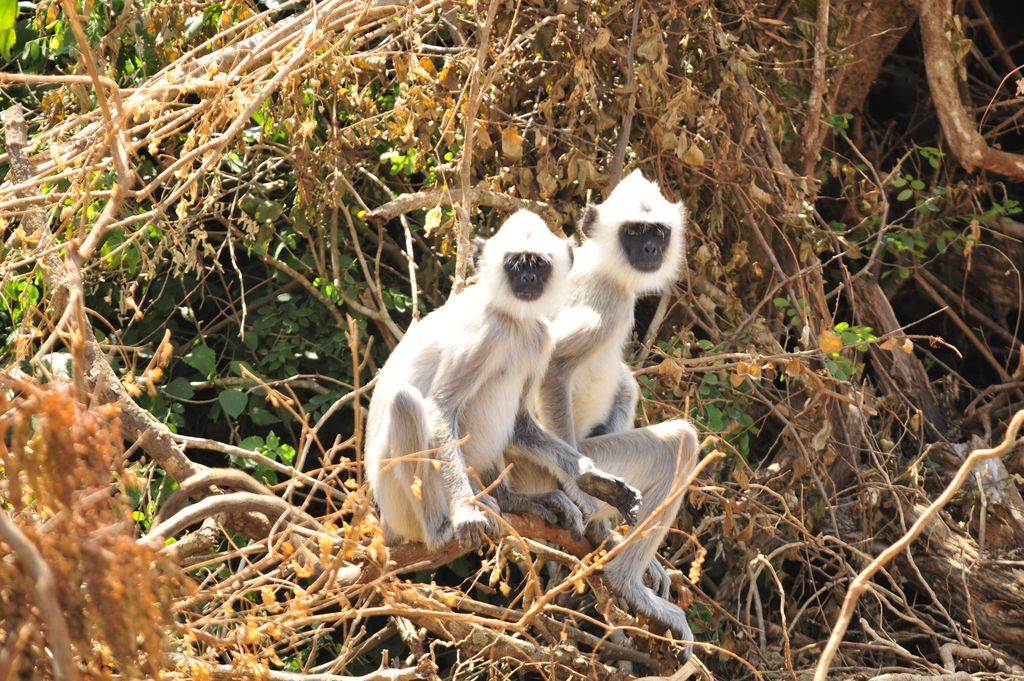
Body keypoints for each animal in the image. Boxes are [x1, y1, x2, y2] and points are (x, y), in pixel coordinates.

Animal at [366, 210, 638, 552]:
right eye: (514, 264)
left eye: (539, 264)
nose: (528, 279)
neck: (514, 320)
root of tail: (387, 522)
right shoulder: (486, 333)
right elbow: (441, 409)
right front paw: (466, 512)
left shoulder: (540, 337)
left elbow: (521, 423)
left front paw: (590, 476)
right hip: (398, 500)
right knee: (406, 401)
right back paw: (443, 527)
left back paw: (513, 500)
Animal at [509, 169, 700, 647]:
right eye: (633, 232)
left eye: (657, 232)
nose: (649, 250)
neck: (601, 265)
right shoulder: (606, 303)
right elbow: (552, 365)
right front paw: (577, 488)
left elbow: (625, 385)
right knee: (680, 442)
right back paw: (624, 581)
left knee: (627, 386)